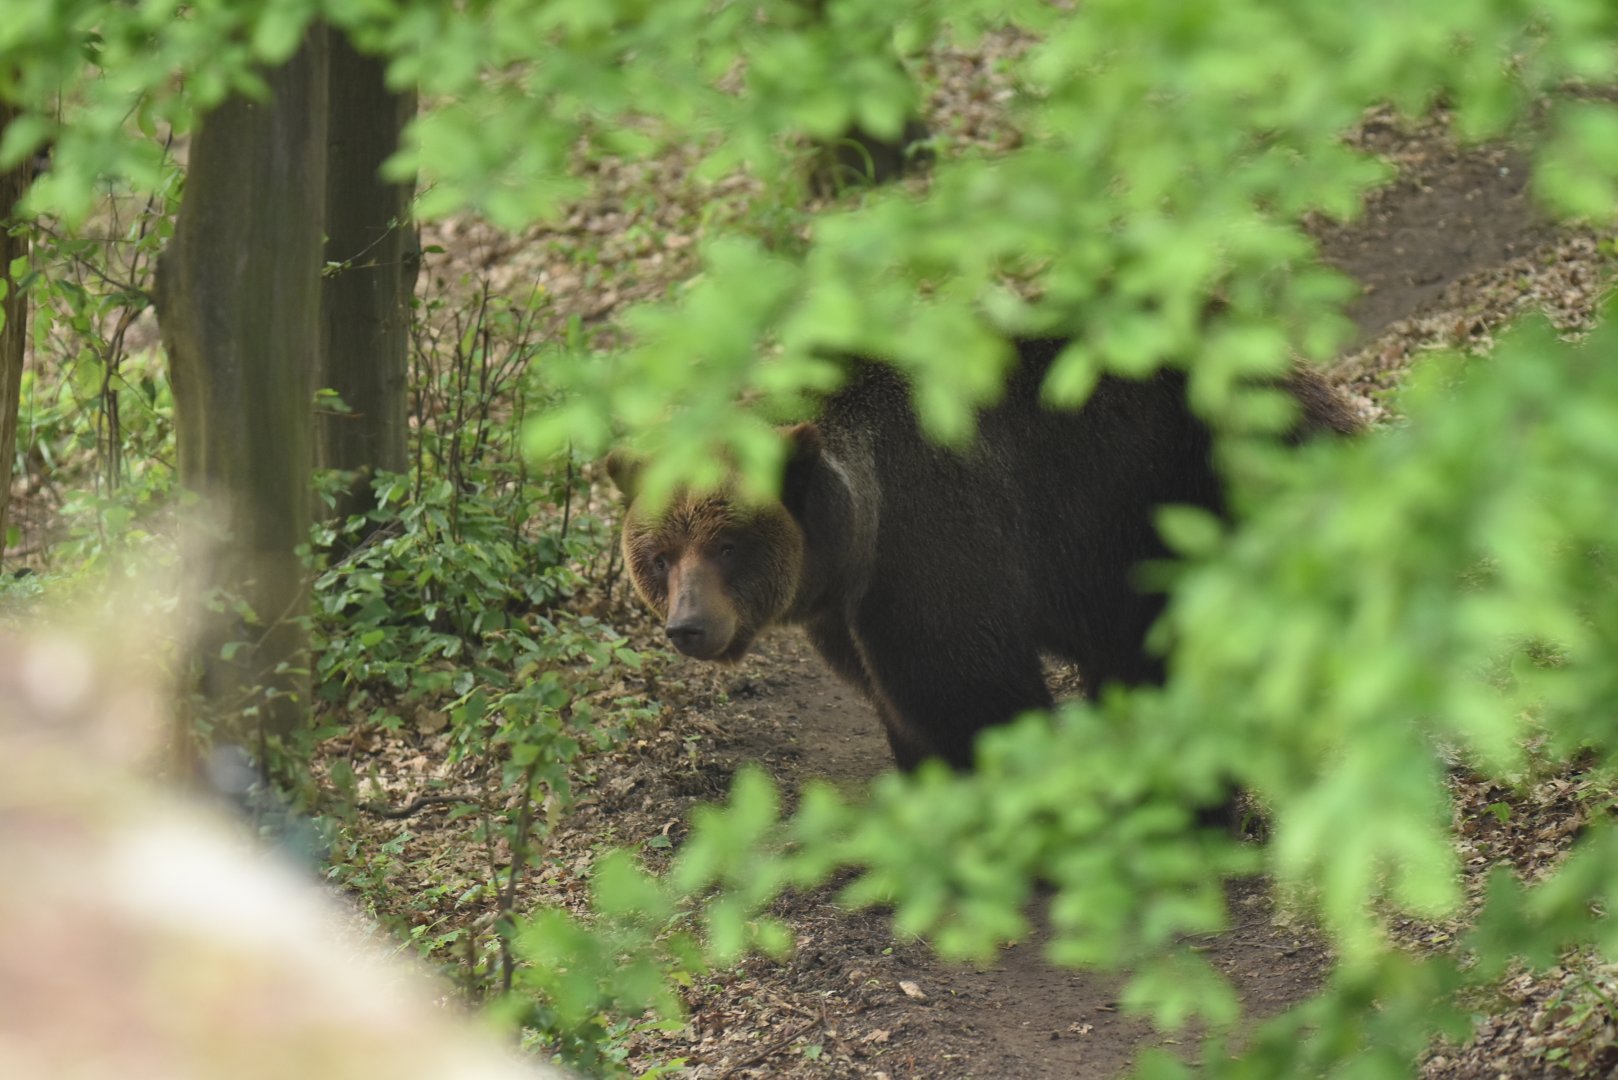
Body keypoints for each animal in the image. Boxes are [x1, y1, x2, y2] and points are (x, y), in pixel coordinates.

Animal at [607, 338, 1360, 770]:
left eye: (729, 545)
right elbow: (890, 692)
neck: (853, 532)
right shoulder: (851, 605)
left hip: (1187, 485)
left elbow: (966, 682)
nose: (689, 626)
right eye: (660, 555)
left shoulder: (934, 541)